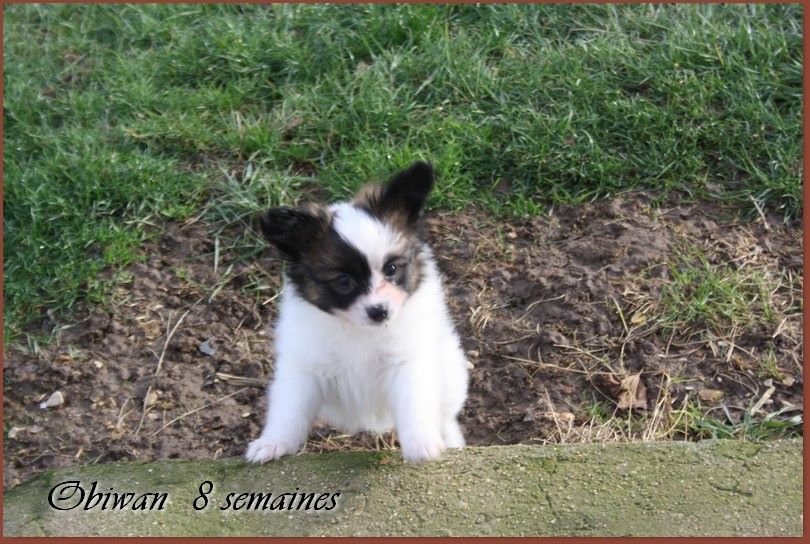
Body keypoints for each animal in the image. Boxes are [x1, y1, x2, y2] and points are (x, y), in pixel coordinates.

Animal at [245, 161, 469, 464]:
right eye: (343, 282)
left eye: (392, 269)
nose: (380, 312)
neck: (358, 330)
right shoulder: (304, 367)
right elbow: (289, 410)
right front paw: (273, 443)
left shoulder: (407, 361)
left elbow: (414, 401)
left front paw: (420, 444)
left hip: (451, 373)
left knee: (446, 415)